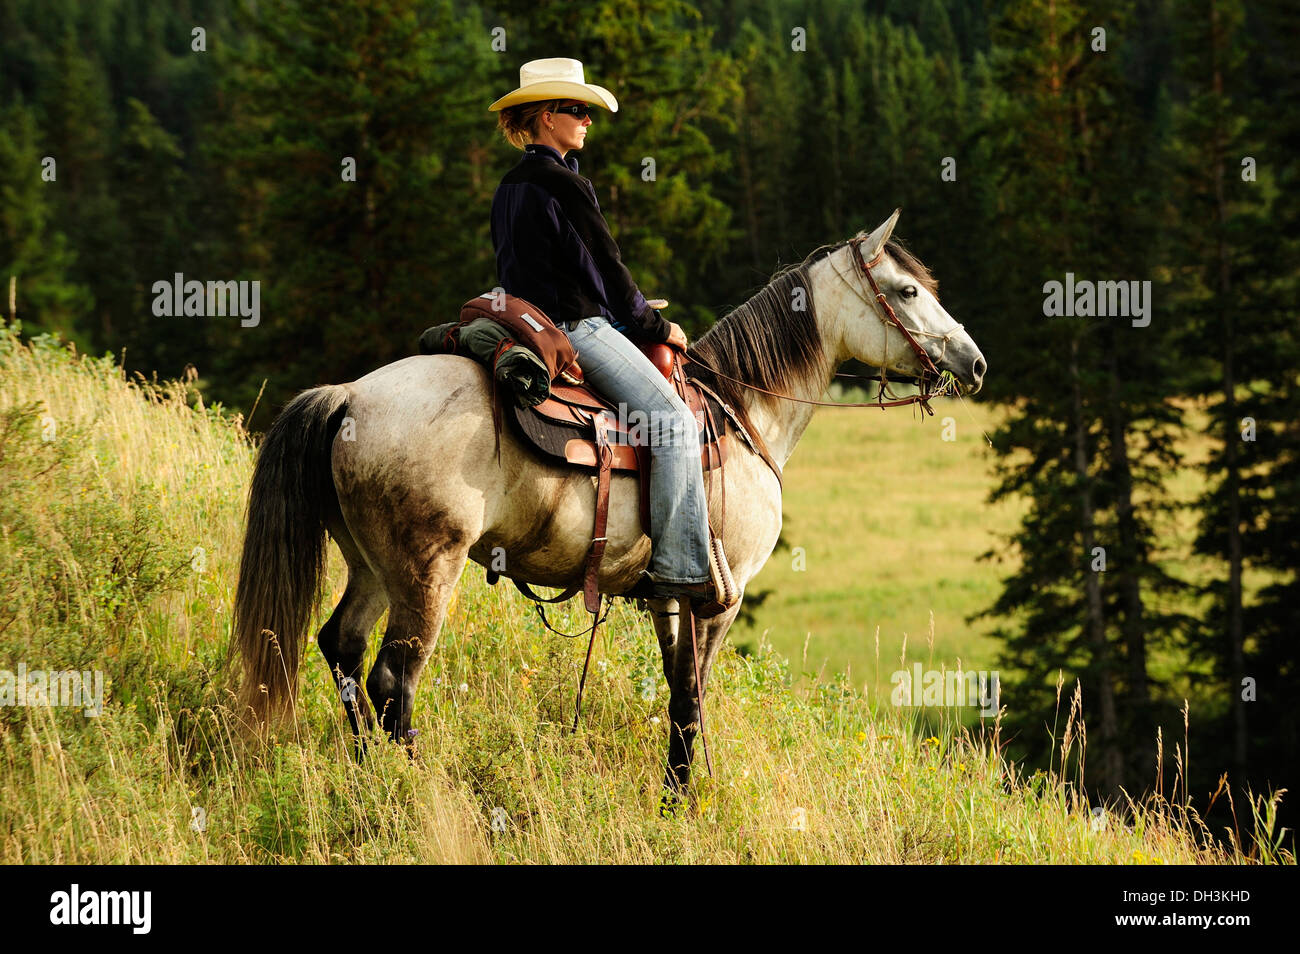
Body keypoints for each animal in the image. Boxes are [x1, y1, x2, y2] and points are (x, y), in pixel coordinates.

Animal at [233, 210, 982, 800]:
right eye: (907, 290)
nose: (973, 362)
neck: (743, 411)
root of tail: (349, 398)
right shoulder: (724, 595)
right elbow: (694, 697)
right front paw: (683, 807)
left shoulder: (670, 594)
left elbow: (677, 695)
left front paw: (672, 797)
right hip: (425, 569)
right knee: (393, 679)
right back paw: (421, 793)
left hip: (370, 565)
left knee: (342, 648)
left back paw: (369, 776)